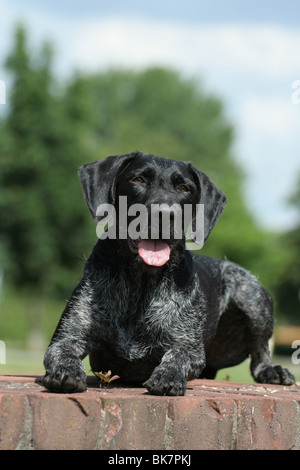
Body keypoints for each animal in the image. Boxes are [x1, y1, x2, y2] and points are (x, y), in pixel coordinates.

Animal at [42, 152, 296, 394]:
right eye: (138, 179)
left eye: (184, 188)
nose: (164, 214)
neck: (141, 284)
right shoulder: (67, 336)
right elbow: (62, 352)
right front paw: (66, 371)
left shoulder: (189, 347)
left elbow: (177, 356)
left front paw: (168, 375)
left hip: (251, 297)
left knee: (260, 353)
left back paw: (273, 370)